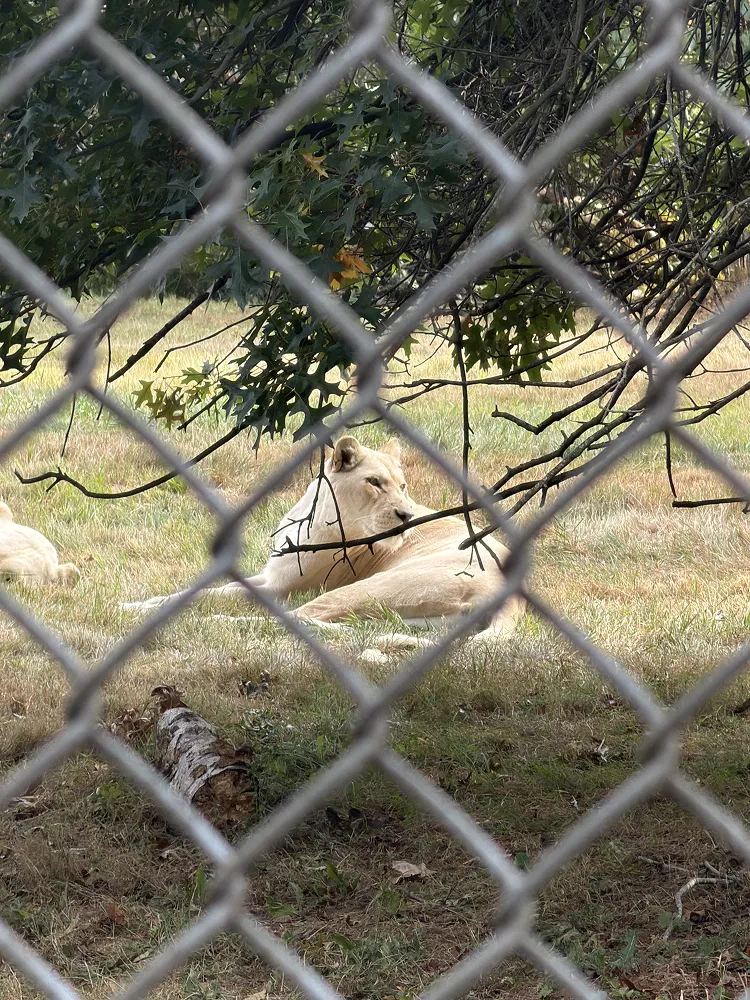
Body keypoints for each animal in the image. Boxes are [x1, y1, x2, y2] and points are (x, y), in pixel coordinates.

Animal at [122, 436, 524, 642]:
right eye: (375, 482)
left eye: (403, 485)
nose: (407, 516)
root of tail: (512, 597)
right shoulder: (269, 576)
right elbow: (205, 588)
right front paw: (149, 602)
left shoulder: (281, 589)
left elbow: (214, 594)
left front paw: (136, 609)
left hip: (370, 587)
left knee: (290, 619)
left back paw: (212, 624)